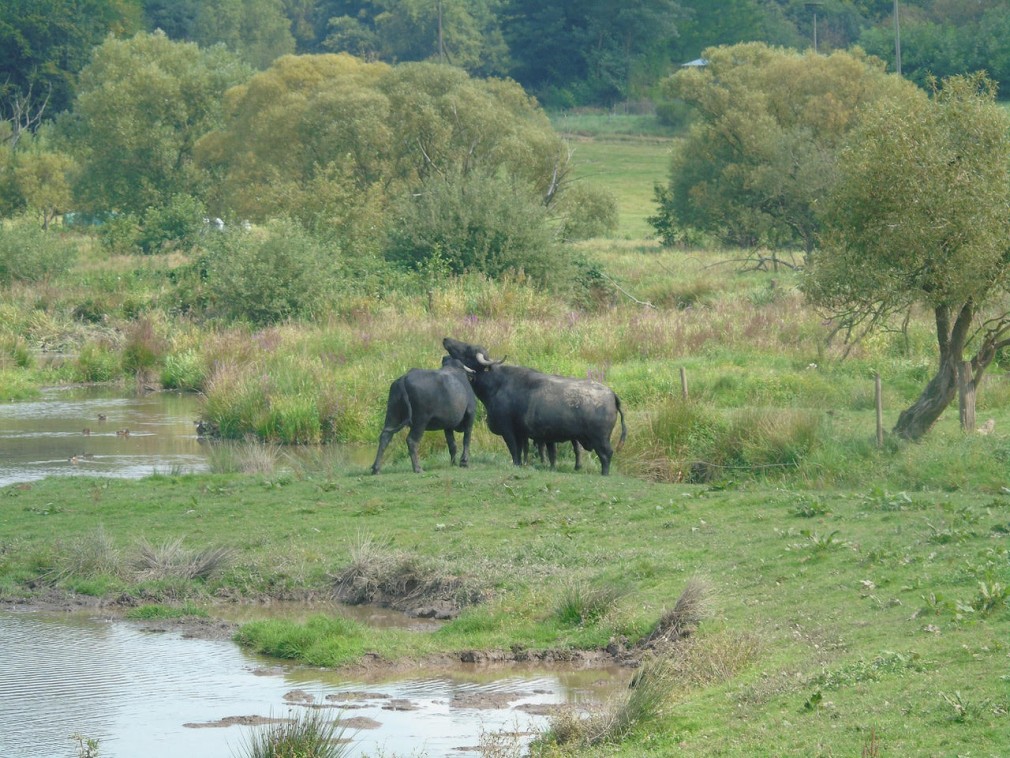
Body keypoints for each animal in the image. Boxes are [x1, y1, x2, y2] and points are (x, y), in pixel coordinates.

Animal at [442, 337, 622, 475]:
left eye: (467, 350)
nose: (446, 339)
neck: (497, 385)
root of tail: (612, 395)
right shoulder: (523, 434)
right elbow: (524, 451)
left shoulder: (508, 430)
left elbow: (514, 450)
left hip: (601, 439)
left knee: (606, 455)